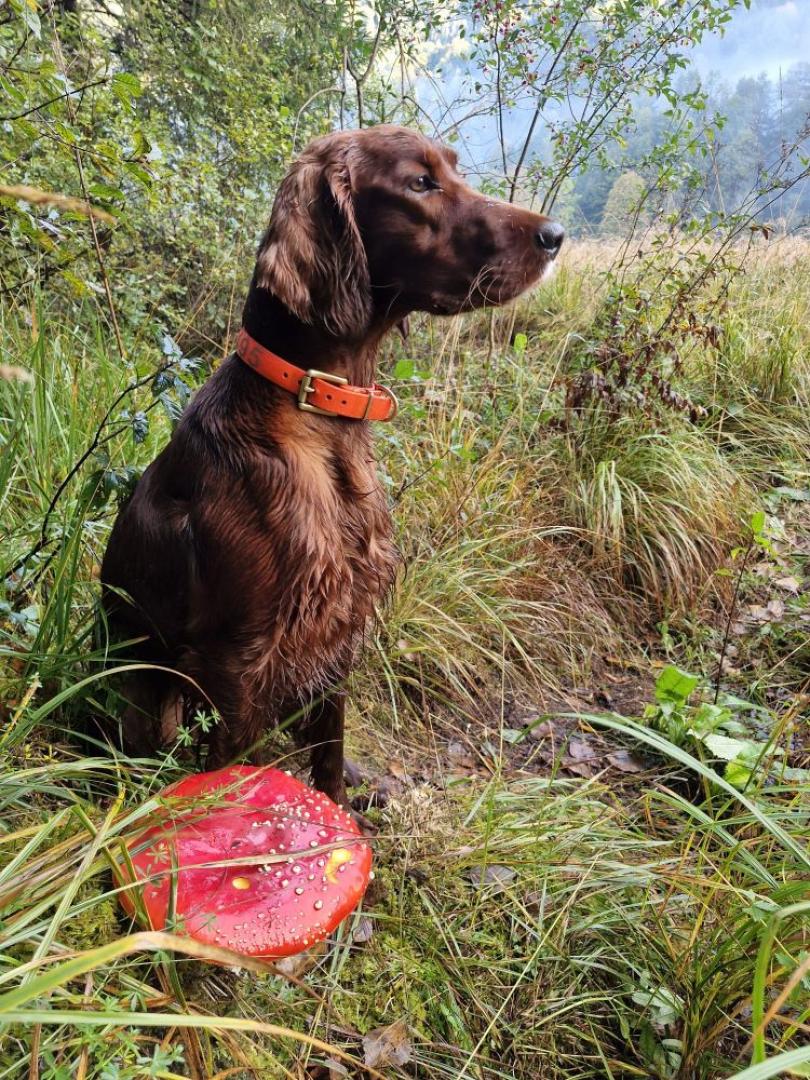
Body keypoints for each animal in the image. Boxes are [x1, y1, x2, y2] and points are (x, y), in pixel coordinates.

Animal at [101, 122, 565, 807]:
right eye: (419, 183)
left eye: (454, 170)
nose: (555, 235)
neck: (318, 411)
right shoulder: (238, 657)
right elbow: (233, 773)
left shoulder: (339, 629)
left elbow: (328, 746)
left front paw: (337, 803)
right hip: (148, 690)